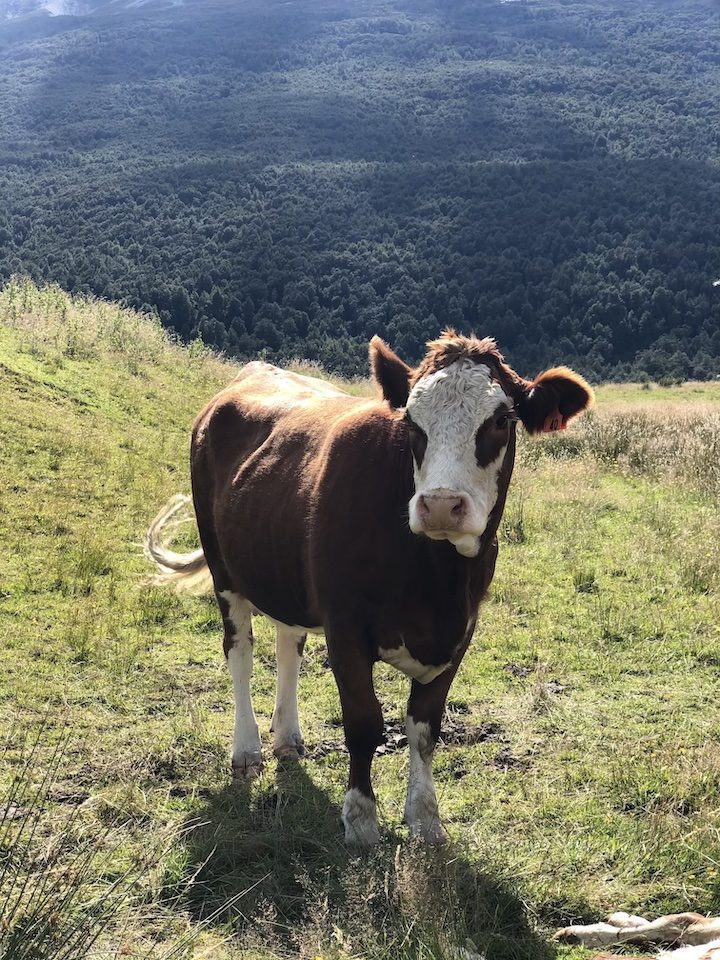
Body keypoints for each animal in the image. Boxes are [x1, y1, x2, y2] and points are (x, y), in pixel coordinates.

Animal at [145, 330, 593, 845]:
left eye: (501, 420)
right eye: (412, 422)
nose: (441, 505)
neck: (435, 580)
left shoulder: (461, 632)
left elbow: (424, 728)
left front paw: (425, 818)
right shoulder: (345, 628)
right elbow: (363, 724)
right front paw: (360, 818)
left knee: (287, 644)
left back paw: (287, 737)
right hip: (224, 568)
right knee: (239, 650)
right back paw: (248, 749)